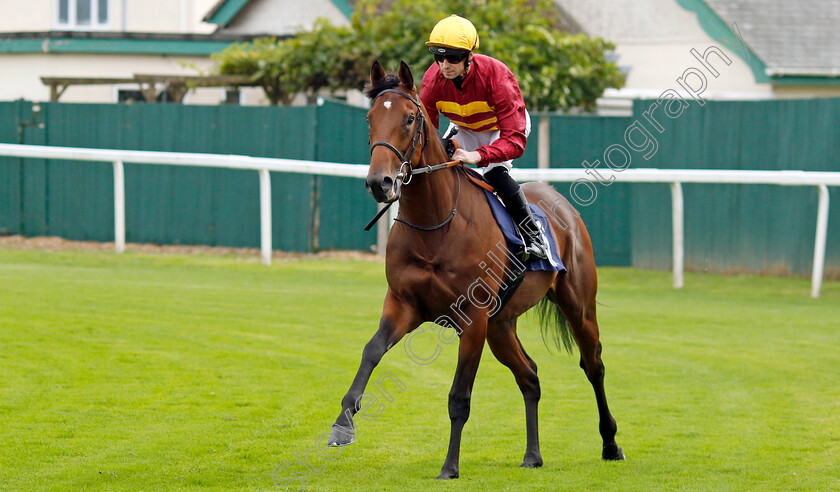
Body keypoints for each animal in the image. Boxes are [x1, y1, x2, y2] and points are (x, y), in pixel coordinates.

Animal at [328, 59, 624, 478]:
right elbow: (371, 351)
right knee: (530, 376)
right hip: (502, 325)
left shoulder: (472, 318)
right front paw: (342, 426)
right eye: (370, 118)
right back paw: (532, 455)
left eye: (408, 119)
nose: (379, 182)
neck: (437, 224)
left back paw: (611, 443)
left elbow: (459, 396)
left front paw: (449, 466)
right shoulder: (403, 304)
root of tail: (561, 203)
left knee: (593, 364)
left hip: (577, 306)